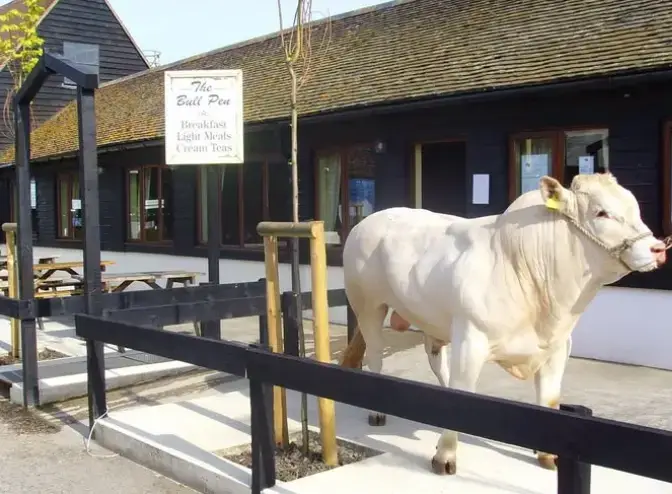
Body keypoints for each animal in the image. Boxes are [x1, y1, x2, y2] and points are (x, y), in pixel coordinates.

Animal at [340, 173, 667, 475]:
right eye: (601, 212)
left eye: (635, 208)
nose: (658, 249)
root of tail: (367, 222)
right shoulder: (471, 339)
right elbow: (461, 394)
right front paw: (445, 456)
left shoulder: (557, 346)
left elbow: (549, 397)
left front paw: (548, 455)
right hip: (369, 305)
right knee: (376, 357)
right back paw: (377, 412)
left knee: (437, 363)